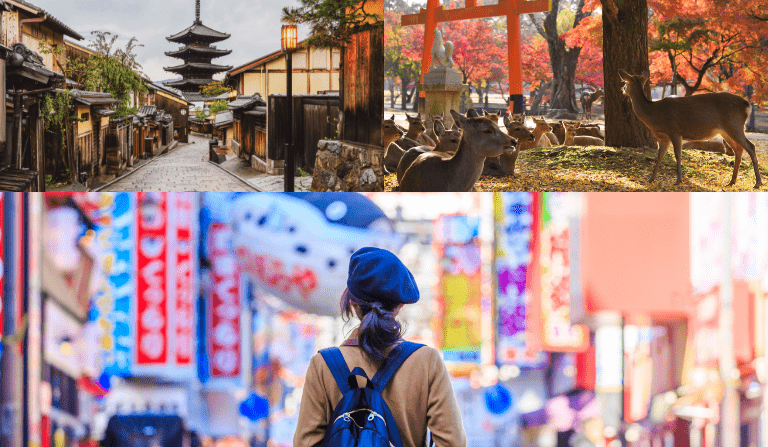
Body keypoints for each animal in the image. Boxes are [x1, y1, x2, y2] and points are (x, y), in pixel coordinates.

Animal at [620, 68, 760, 189]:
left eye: (626, 82)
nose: (622, 89)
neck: (653, 115)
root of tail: (747, 105)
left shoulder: (675, 131)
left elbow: (677, 154)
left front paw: (678, 180)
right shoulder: (663, 137)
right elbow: (659, 155)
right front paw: (651, 179)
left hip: (735, 125)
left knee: (750, 146)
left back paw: (757, 183)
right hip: (726, 131)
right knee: (739, 150)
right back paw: (731, 182)